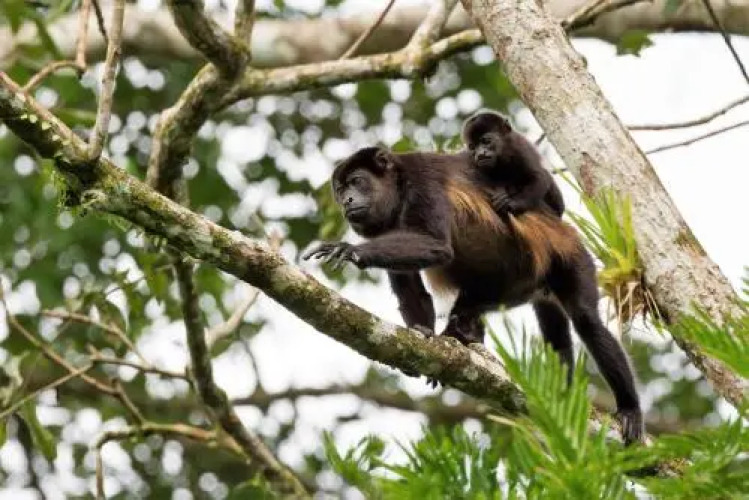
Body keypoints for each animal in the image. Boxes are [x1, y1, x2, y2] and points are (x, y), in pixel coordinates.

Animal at [303, 145, 644, 445]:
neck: (397, 190)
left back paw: (630, 409)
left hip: (572, 256)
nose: (346, 200)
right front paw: (423, 333)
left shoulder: (422, 181)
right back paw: (465, 333)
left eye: (357, 181)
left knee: (587, 321)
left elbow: (436, 245)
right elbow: (410, 287)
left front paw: (350, 250)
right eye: (340, 189)